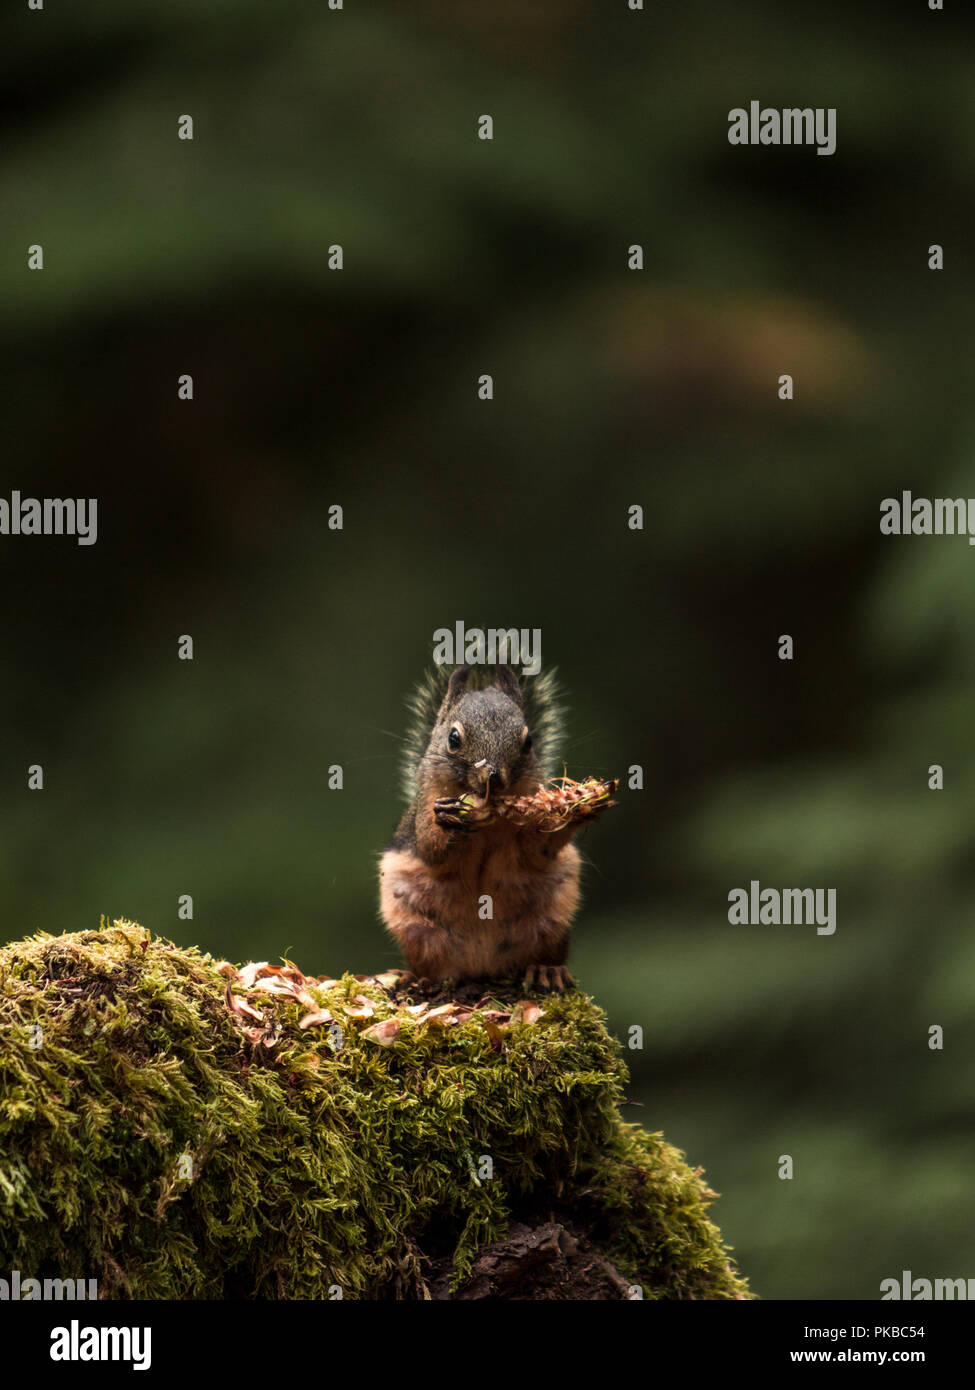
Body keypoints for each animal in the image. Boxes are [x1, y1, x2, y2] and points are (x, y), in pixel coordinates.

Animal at [379, 663, 606, 992]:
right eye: (453, 738)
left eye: (528, 742)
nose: (493, 777)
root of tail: (481, 966)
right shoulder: (422, 814)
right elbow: (431, 850)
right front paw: (449, 819)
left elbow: (537, 850)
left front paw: (577, 808)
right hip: (413, 927)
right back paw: (417, 978)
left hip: (553, 920)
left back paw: (546, 970)